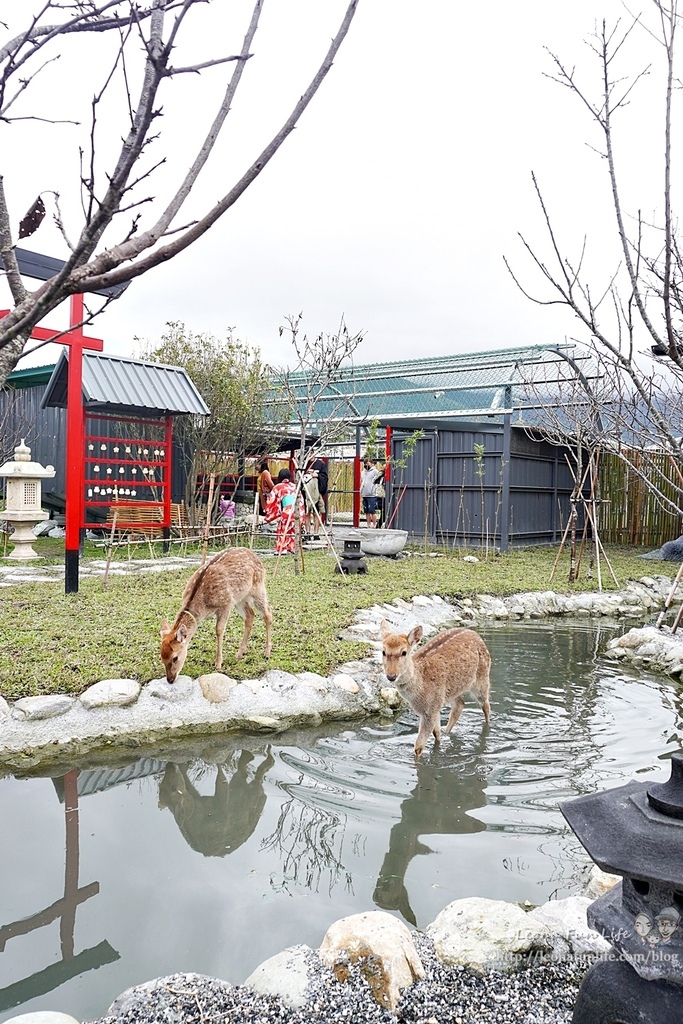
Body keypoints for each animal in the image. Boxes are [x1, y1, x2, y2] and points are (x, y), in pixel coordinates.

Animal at [160, 548, 272, 684]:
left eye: (175, 658)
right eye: (162, 658)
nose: (170, 680)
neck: (203, 606)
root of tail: (257, 557)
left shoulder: (225, 604)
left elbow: (219, 630)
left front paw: (218, 664)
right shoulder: (231, 601)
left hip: (258, 587)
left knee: (268, 614)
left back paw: (267, 653)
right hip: (240, 597)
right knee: (250, 615)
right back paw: (240, 653)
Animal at [378, 618, 491, 757]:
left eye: (404, 652)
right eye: (383, 651)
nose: (391, 676)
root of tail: (477, 635)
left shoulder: (431, 708)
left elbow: (418, 746)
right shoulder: (434, 705)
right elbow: (436, 733)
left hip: (482, 677)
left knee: (486, 706)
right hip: (450, 691)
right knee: (460, 704)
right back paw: (448, 733)